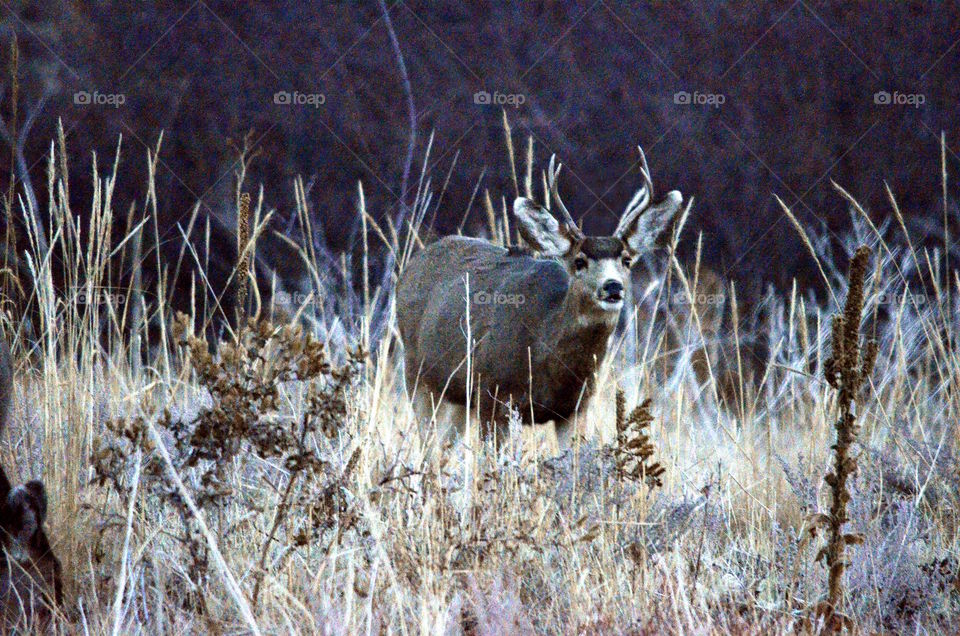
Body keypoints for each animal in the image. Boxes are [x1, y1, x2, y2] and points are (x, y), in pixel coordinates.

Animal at [397, 146, 685, 445]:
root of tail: (413, 264)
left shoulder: (576, 407)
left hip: (457, 399)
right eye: (579, 261)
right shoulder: (491, 393)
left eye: (626, 260)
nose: (613, 286)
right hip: (417, 374)